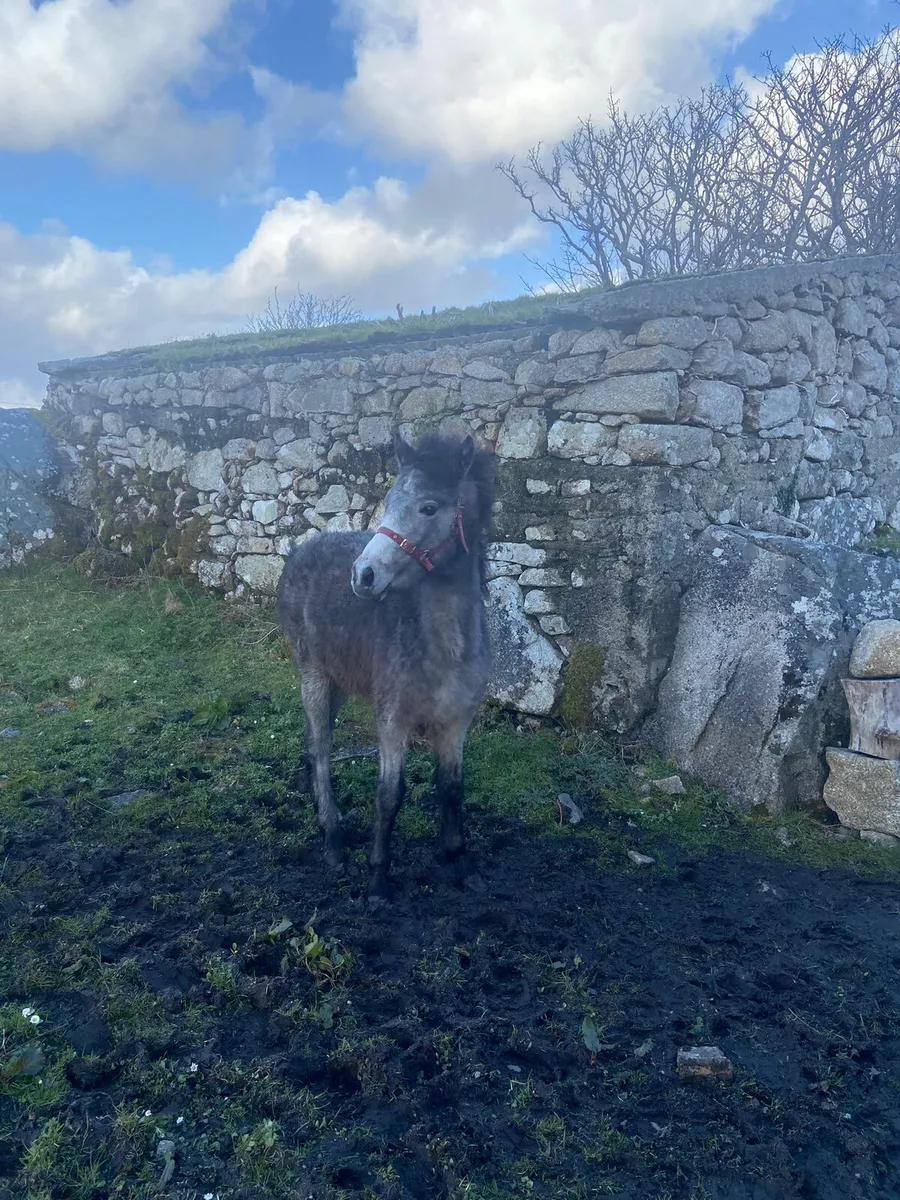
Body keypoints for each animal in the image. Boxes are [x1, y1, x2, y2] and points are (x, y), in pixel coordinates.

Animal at [276, 432, 493, 901]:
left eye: (429, 507)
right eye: (390, 499)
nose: (363, 575)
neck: (443, 646)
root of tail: (298, 551)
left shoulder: (455, 723)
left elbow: (452, 789)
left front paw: (459, 861)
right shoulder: (393, 720)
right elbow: (389, 794)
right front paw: (378, 876)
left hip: (338, 681)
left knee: (312, 742)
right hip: (313, 676)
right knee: (322, 748)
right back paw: (333, 839)